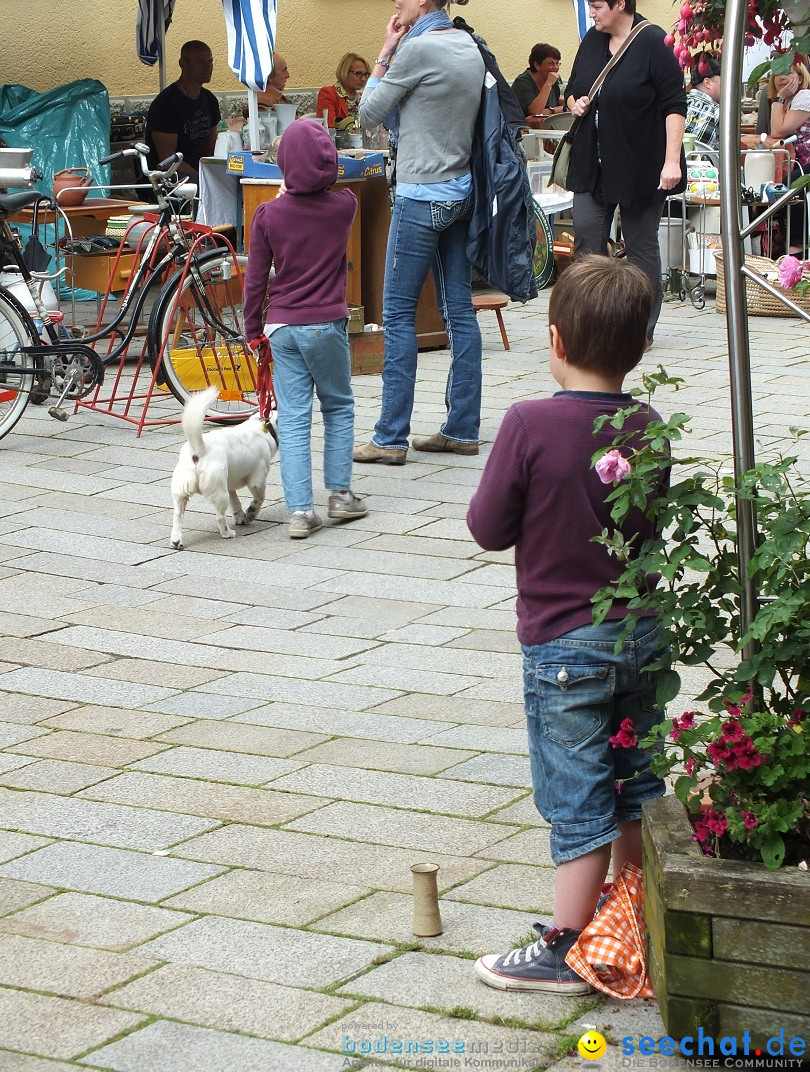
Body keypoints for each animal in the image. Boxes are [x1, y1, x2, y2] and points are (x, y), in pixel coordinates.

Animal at [168, 385, 278, 548]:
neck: (263, 427)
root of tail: (200, 449)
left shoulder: (229, 485)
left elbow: (236, 502)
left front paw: (241, 517)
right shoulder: (257, 481)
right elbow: (259, 499)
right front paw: (251, 513)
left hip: (181, 493)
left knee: (177, 516)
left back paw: (176, 541)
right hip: (220, 494)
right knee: (219, 517)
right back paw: (227, 533)